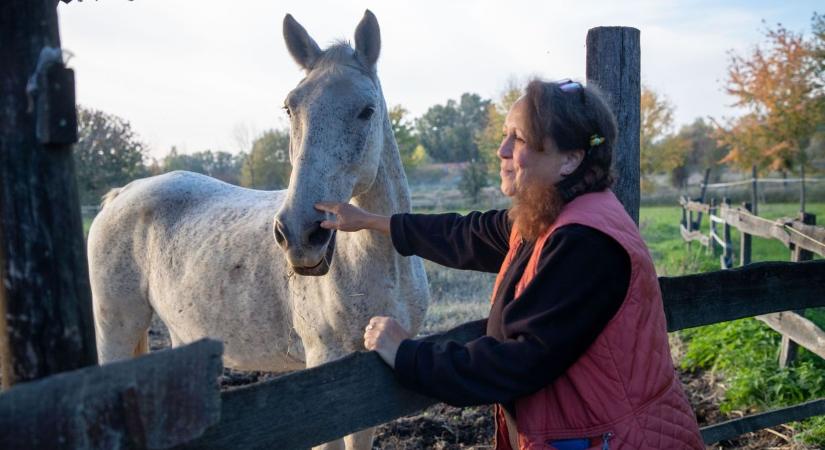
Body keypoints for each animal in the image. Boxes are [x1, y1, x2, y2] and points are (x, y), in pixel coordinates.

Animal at [87, 11, 428, 450]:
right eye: (289, 108)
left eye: (367, 110)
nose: (300, 233)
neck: (381, 267)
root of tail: (122, 194)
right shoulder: (327, 367)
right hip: (115, 328)